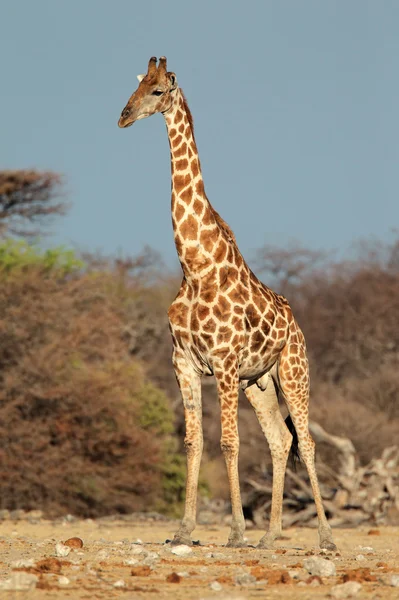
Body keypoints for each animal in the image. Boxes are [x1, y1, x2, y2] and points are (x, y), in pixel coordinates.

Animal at [119, 58, 338, 552]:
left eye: (157, 91)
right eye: (134, 87)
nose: (123, 117)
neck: (195, 266)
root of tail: (296, 324)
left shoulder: (222, 362)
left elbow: (229, 442)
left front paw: (236, 531)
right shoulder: (183, 362)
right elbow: (194, 441)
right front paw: (184, 529)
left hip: (293, 372)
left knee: (307, 442)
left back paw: (324, 537)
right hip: (258, 383)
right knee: (279, 440)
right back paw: (271, 535)